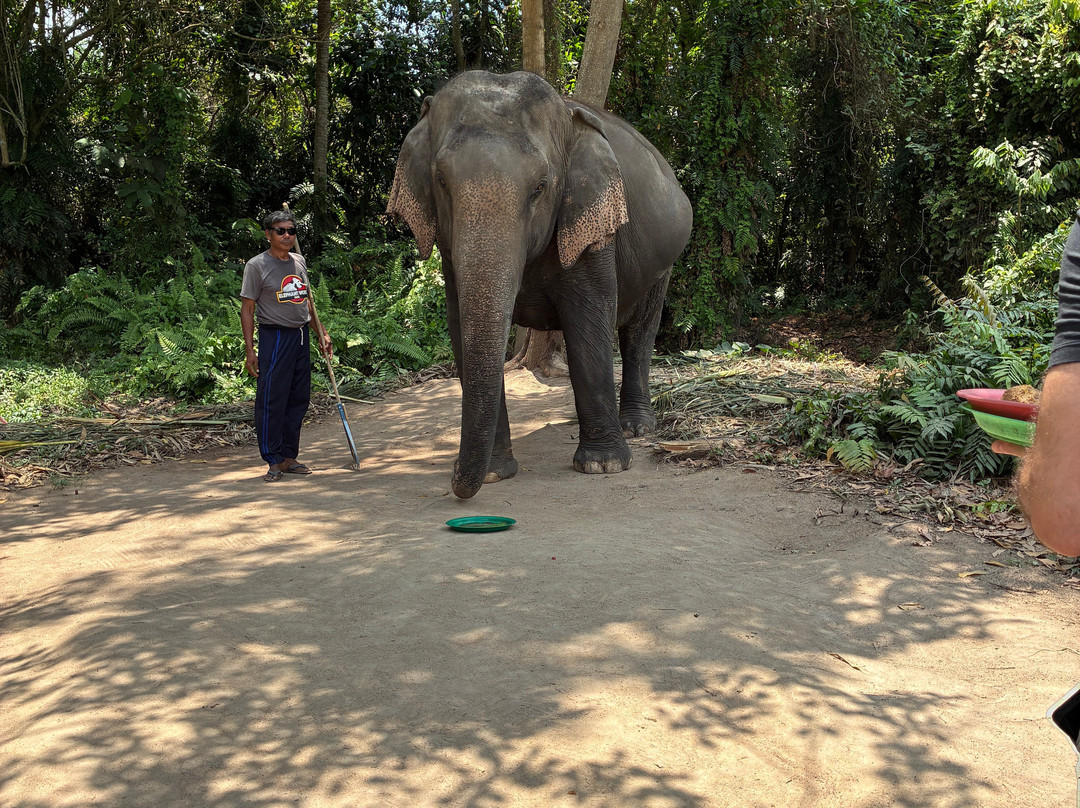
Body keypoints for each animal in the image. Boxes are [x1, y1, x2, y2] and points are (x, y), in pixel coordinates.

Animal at [387, 70, 693, 499]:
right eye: (441, 180)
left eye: (540, 186)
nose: (454, 476)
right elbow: (461, 326)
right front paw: (495, 473)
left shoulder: (592, 228)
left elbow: (588, 322)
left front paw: (603, 465)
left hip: (663, 262)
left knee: (639, 331)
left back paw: (636, 427)